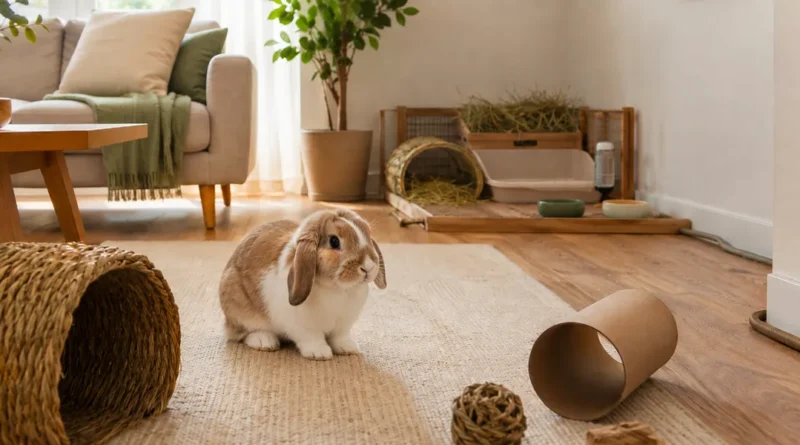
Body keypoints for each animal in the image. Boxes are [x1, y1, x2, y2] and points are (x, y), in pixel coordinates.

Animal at [218, 208, 387, 360]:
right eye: (334, 241)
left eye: (367, 234)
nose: (368, 267)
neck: (338, 289)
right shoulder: (303, 326)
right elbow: (312, 338)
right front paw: (319, 353)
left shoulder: (342, 325)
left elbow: (339, 337)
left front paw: (348, 348)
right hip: (240, 309)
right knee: (244, 332)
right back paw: (264, 341)